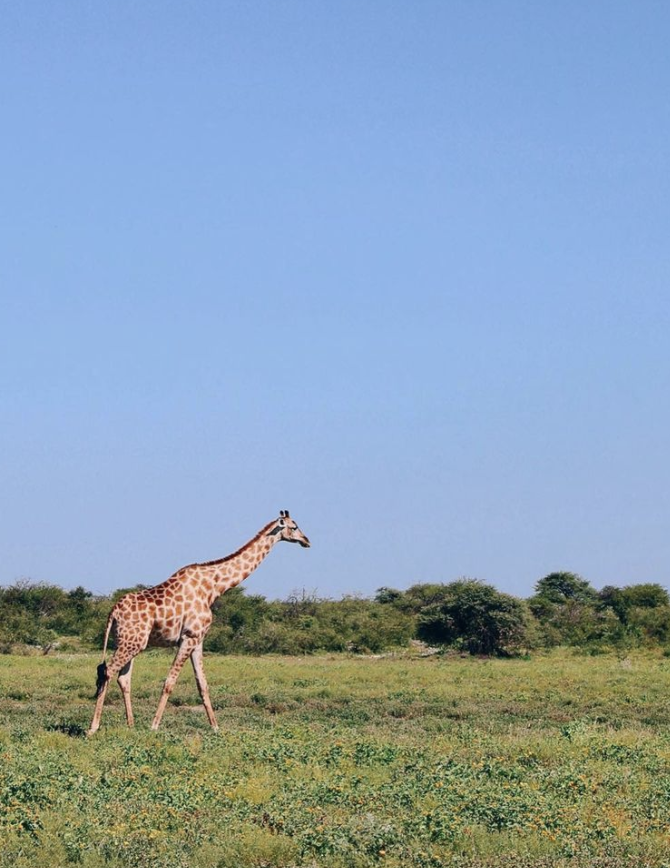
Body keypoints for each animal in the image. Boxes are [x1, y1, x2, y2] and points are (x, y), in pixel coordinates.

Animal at [88, 510, 310, 734]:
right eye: (294, 526)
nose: (306, 541)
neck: (213, 587)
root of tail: (113, 613)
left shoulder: (198, 639)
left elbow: (202, 683)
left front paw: (215, 727)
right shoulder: (189, 636)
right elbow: (169, 682)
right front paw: (154, 726)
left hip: (129, 642)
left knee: (123, 678)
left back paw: (130, 726)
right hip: (131, 642)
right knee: (107, 671)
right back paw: (93, 728)